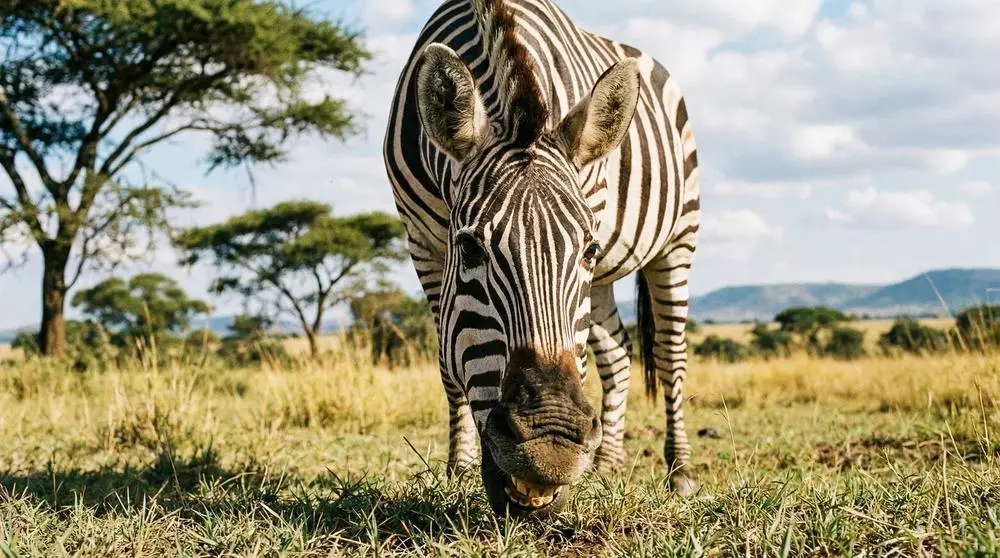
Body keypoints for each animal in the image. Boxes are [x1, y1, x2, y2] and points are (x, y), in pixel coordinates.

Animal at [382, 0, 700, 516]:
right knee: (619, 354)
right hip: (607, 281)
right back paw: (607, 465)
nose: (551, 448)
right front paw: (458, 470)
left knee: (670, 354)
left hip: (679, 237)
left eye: (587, 249)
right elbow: (449, 367)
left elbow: (581, 355)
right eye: (469, 249)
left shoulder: (592, 214)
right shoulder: (422, 242)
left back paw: (680, 472)